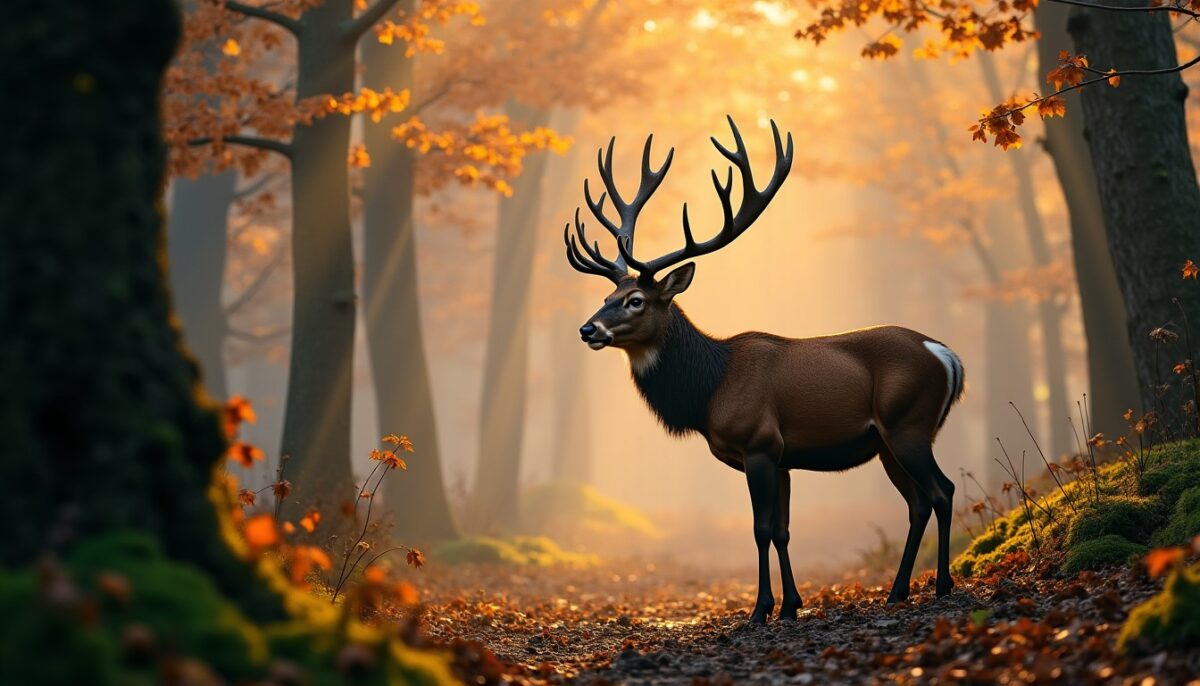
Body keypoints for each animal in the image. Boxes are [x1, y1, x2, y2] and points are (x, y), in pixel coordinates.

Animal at [562, 117, 965, 624]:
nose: (587, 328)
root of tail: (947, 356)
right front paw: (792, 605)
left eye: (635, 300)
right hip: (887, 441)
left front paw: (761, 610)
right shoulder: (783, 456)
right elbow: (783, 530)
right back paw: (896, 591)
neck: (709, 391)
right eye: (606, 296)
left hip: (908, 423)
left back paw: (943, 585)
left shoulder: (757, 441)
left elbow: (760, 529)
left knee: (942, 491)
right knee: (916, 504)